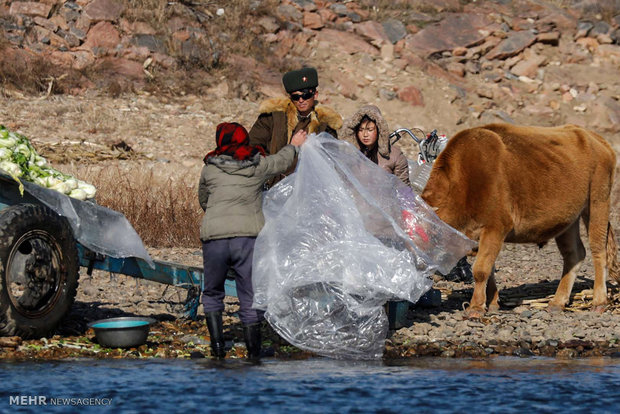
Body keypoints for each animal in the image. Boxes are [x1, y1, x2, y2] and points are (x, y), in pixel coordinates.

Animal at [422, 122, 620, 314]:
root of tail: (596, 139)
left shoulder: (496, 227)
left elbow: (481, 269)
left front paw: (476, 308)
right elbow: (490, 269)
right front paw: (493, 303)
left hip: (598, 202)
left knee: (598, 250)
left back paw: (599, 301)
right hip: (568, 219)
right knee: (574, 254)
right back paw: (557, 302)